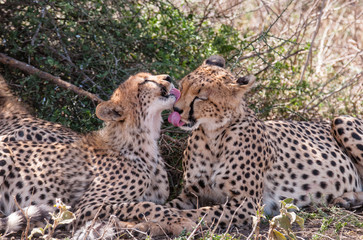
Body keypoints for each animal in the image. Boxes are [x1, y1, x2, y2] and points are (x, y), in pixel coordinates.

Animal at [167, 55, 363, 230]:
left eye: (200, 97)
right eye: (182, 87)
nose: (176, 109)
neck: (213, 135)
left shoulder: (247, 205)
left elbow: (200, 213)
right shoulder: (191, 194)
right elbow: (170, 205)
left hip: (341, 120)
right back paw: (347, 199)